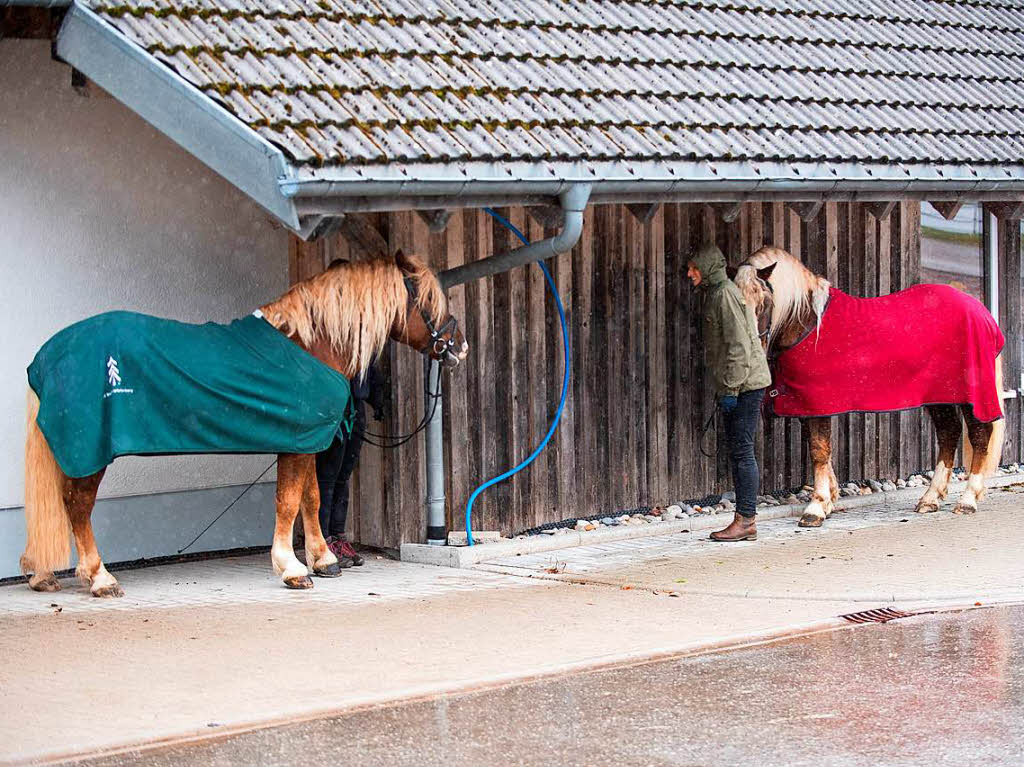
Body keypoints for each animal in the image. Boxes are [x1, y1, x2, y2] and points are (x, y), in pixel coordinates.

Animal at [733, 245, 1003, 528]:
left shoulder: (818, 405)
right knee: (949, 433)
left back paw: (967, 500)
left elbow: (819, 451)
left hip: (970, 397)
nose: (752, 354)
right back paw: (930, 499)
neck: (807, 323)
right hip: (940, 396)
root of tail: (980, 310)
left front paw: (816, 508)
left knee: (979, 435)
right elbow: (820, 450)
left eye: (764, 303)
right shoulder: (808, 407)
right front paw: (829, 500)